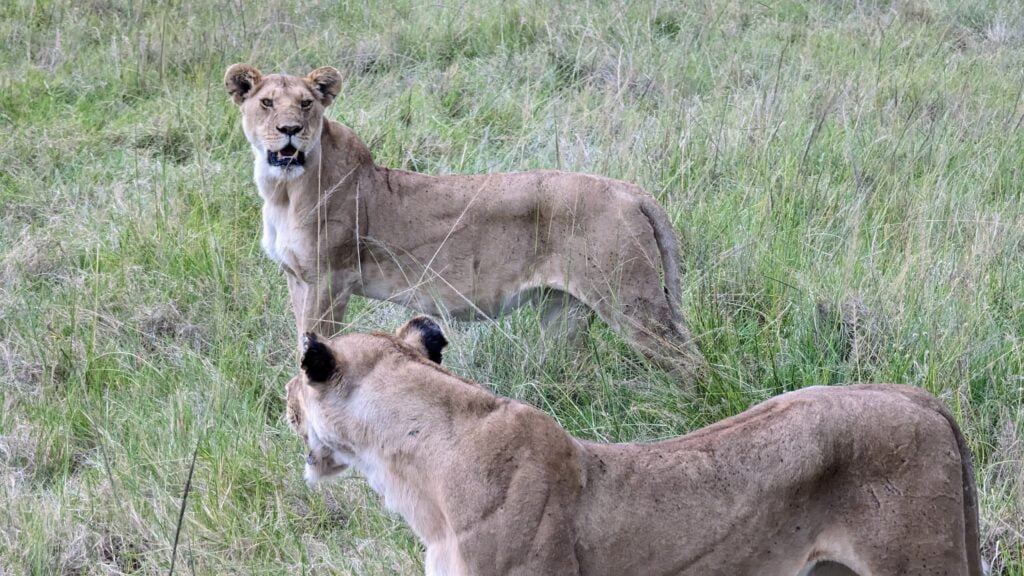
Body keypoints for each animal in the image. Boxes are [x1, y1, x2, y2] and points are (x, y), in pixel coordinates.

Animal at [223, 63, 704, 381]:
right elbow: (299, 339)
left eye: (306, 104)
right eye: (266, 103)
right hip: (563, 311)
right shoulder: (297, 278)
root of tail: (632, 191)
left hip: (631, 302)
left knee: (689, 364)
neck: (283, 190)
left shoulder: (327, 280)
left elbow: (315, 343)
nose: (290, 130)